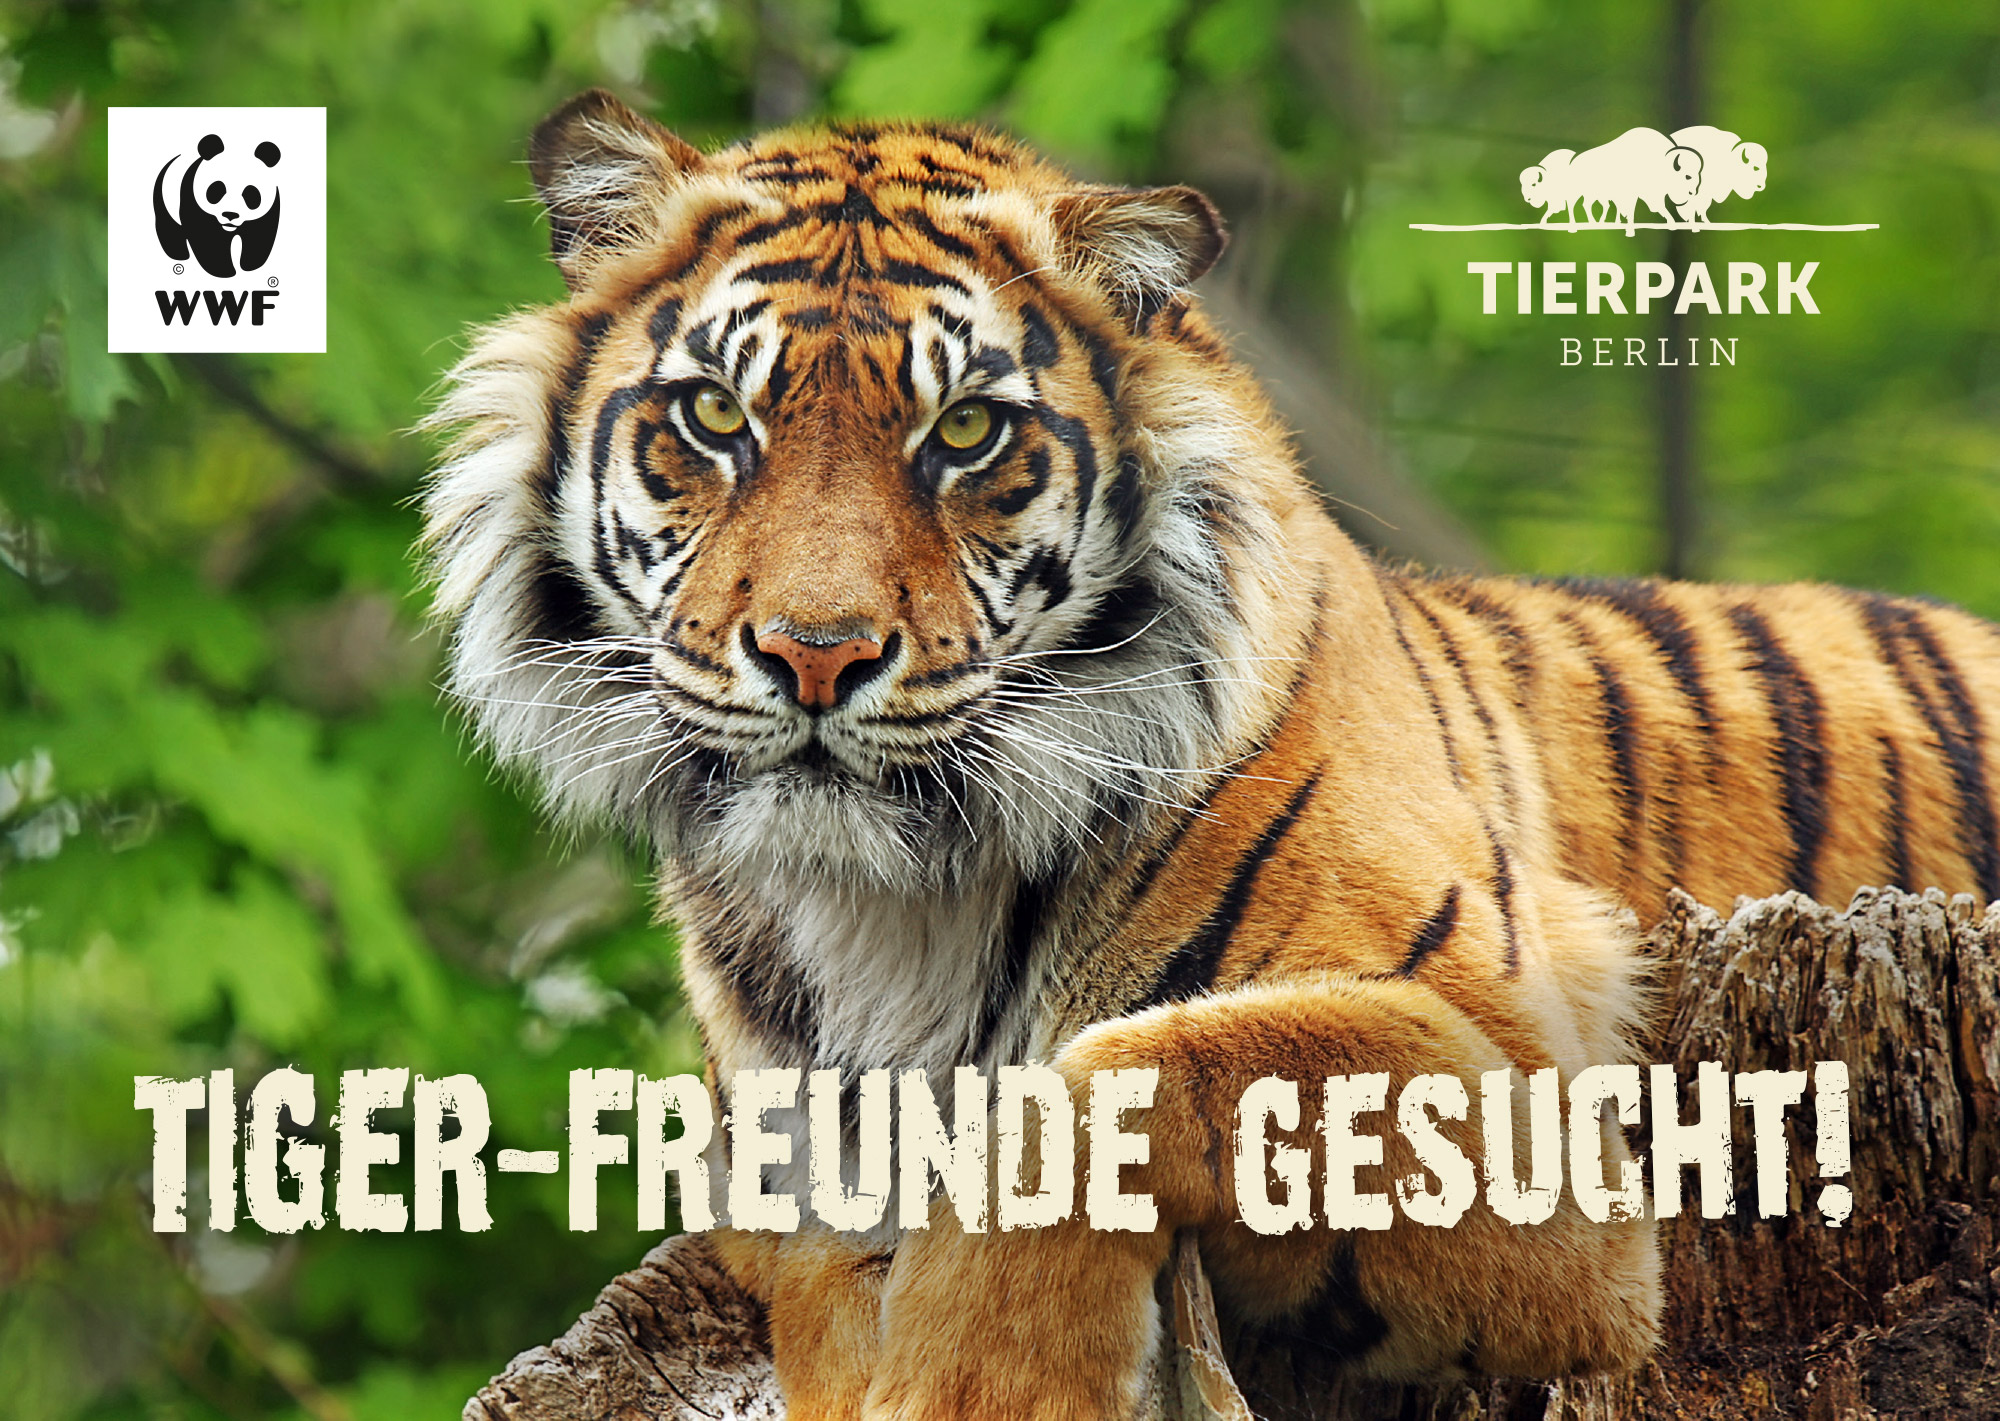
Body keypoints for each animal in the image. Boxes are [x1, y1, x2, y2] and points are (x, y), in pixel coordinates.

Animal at [422, 89, 2000, 1421]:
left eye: (966, 429)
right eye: (714, 416)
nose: (817, 652)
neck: (890, 903)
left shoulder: (1525, 1085)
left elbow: (1112, 1076)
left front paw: (983, 1380)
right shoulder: (786, 1174)